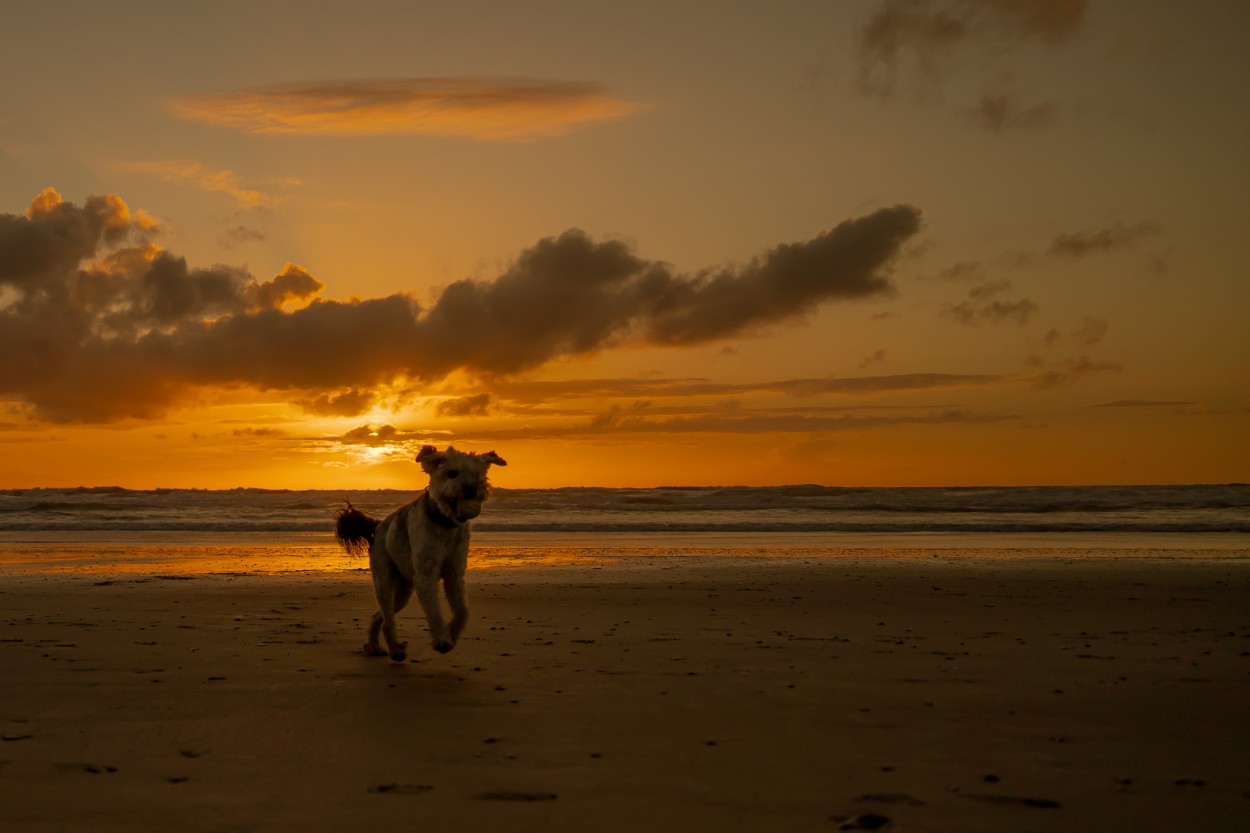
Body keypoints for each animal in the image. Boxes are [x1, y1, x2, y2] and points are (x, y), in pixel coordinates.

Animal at [337, 445, 507, 660]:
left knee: (380, 617)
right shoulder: (425, 576)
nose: (471, 488)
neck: (444, 524)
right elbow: (434, 611)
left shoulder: (454, 573)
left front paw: (451, 634)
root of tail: (377, 527)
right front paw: (442, 639)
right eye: (451, 473)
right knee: (387, 619)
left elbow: (463, 611)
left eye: (476, 474)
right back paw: (395, 650)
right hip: (384, 579)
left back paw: (376, 647)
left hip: (403, 591)